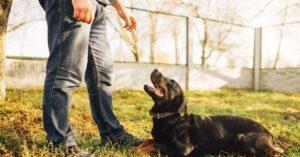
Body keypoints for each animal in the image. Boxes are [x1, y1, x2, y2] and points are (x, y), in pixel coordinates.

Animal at [134, 69, 284, 157]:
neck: (170, 117)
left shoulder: (184, 150)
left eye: (171, 83)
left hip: (244, 138)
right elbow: (149, 140)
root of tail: (270, 134)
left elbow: (156, 145)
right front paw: (138, 146)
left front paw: (136, 150)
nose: (155, 69)